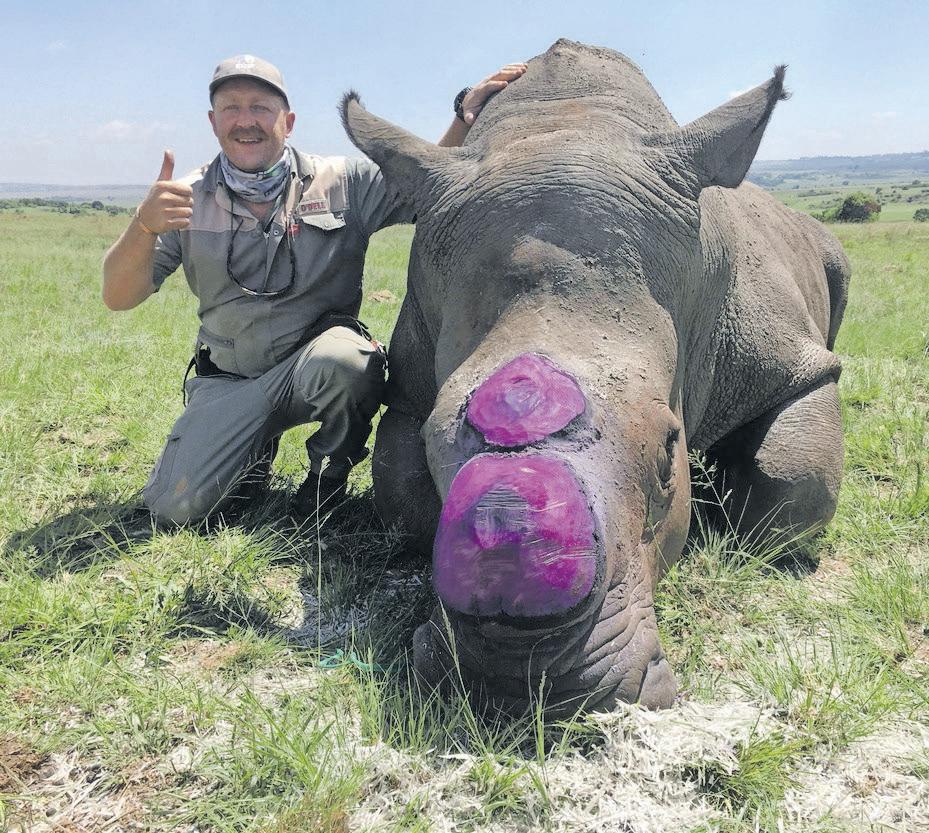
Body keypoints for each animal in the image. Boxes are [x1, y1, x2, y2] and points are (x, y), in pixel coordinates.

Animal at [341, 40, 849, 712]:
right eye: (429, 443)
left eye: (669, 452)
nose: (520, 676)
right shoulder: (409, 388)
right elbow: (402, 499)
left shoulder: (788, 361)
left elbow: (794, 485)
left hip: (820, 244)